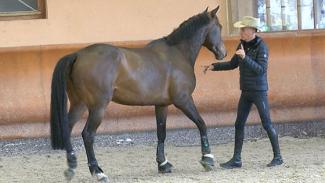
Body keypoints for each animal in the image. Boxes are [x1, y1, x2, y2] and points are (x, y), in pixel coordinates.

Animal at [50, 6, 225, 182]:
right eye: (220, 27)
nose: (223, 53)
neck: (177, 53)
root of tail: (78, 54)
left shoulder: (162, 105)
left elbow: (161, 133)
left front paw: (163, 164)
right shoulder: (183, 100)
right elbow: (201, 123)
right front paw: (207, 159)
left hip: (79, 104)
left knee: (67, 128)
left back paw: (71, 167)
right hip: (97, 107)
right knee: (88, 135)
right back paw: (98, 171)